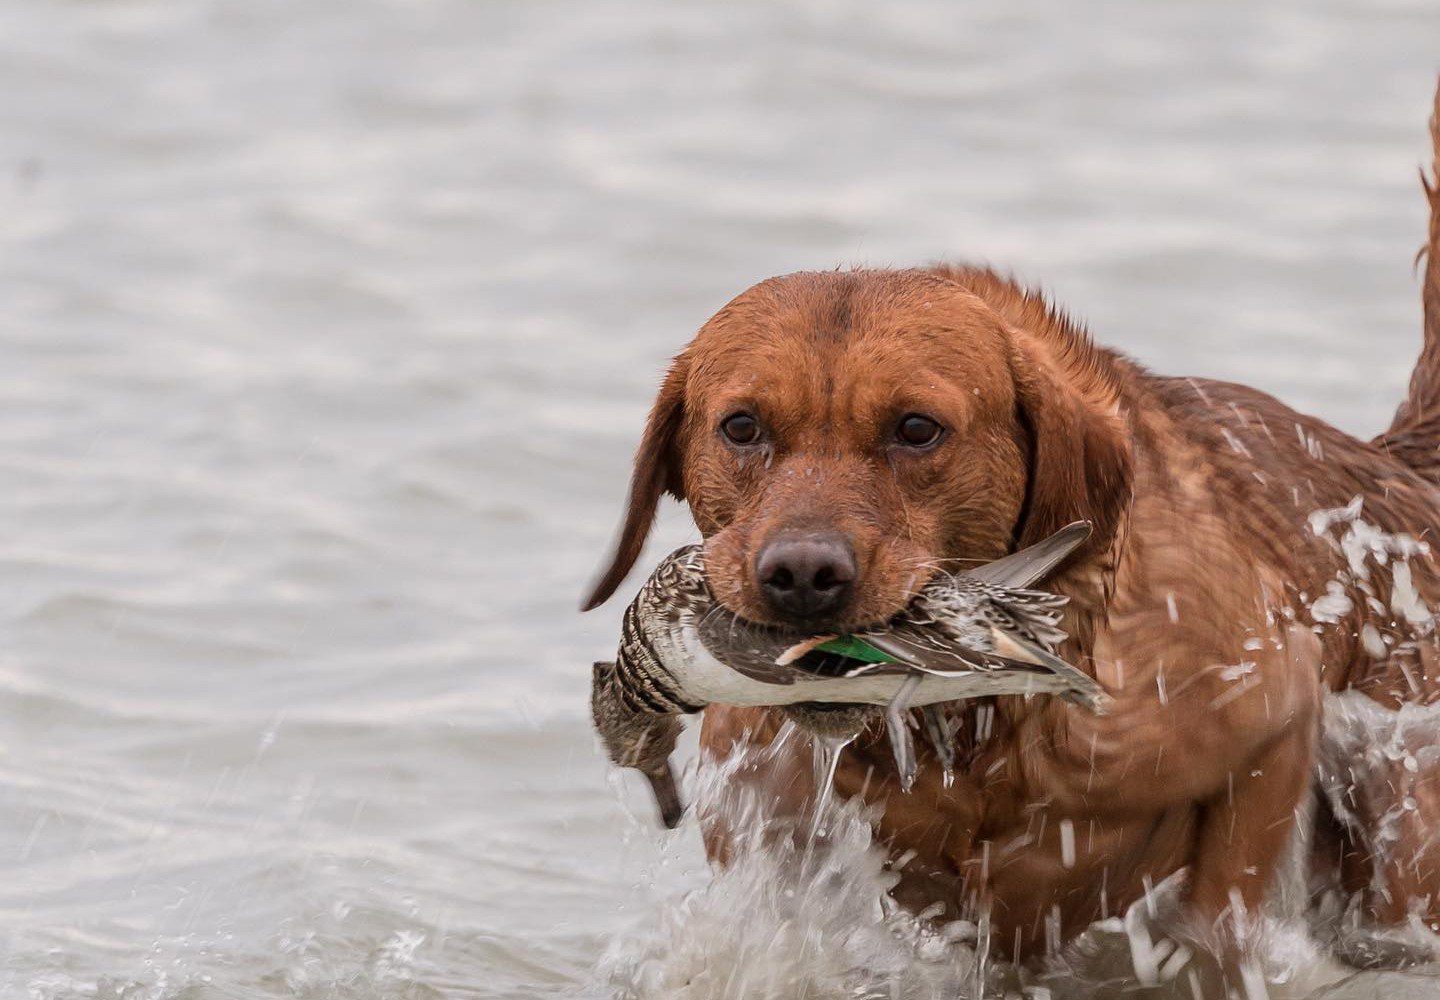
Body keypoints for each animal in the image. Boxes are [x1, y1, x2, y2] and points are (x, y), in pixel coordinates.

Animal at [578, 82, 1440, 974]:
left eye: (917, 429)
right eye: (742, 426)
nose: (803, 577)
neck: (982, 735)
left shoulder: (1272, 724)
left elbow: (1214, 914)